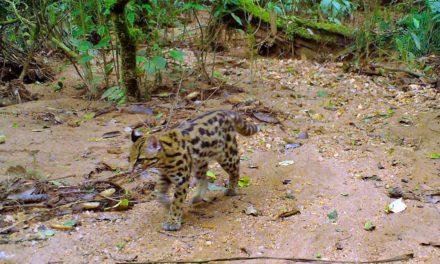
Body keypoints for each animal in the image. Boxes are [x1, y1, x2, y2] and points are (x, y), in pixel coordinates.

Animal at [128, 110, 258, 230]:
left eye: (139, 160)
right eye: (129, 158)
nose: (131, 171)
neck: (164, 159)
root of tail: (224, 112)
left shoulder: (182, 180)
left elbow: (177, 202)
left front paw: (173, 221)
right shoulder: (165, 175)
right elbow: (159, 193)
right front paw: (167, 204)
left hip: (226, 155)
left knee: (235, 170)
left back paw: (232, 189)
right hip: (200, 160)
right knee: (203, 178)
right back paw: (198, 197)